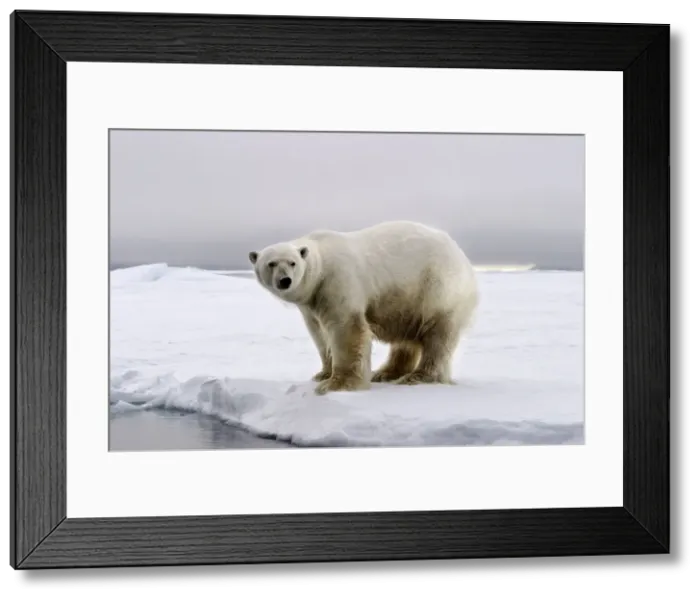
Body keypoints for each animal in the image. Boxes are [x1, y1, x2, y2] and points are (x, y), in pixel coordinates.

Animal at [248, 220, 479, 395]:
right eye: (271, 263)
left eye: (292, 262)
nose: (285, 281)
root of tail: (463, 257)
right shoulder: (311, 304)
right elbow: (319, 334)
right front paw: (322, 373)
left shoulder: (336, 280)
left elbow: (346, 329)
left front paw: (336, 384)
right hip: (409, 300)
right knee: (407, 338)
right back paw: (385, 373)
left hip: (437, 288)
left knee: (438, 334)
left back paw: (418, 376)